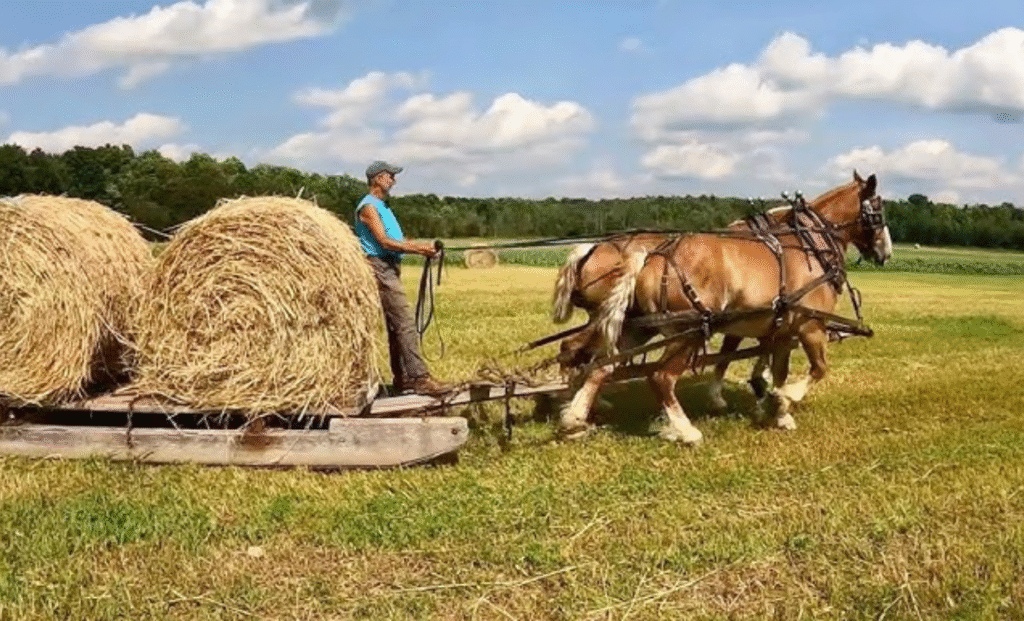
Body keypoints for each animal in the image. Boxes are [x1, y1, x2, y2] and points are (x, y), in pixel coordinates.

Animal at [558, 171, 891, 443]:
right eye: (878, 211)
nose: (886, 252)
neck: (809, 245)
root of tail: (649, 258)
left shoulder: (780, 330)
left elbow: (775, 369)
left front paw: (776, 408)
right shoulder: (810, 325)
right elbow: (818, 369)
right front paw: (781, 399)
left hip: (637, 326)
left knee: (600, 365)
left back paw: (575, 418)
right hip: (687, 331)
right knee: (658, 377)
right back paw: (686, 431)